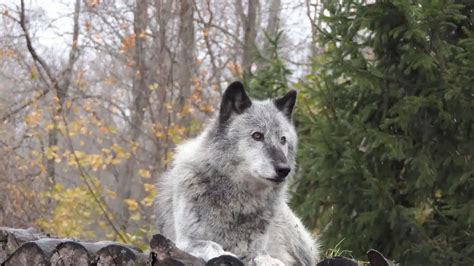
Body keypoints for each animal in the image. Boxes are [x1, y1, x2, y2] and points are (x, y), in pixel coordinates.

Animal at [156, 82, 318, 264]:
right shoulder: (184, 241)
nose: (284, 169)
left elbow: (262, 255)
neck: (237, 200)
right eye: (257, 135)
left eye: (283, 140)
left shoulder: (254, 248)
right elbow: (212, 245)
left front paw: (271, 261)